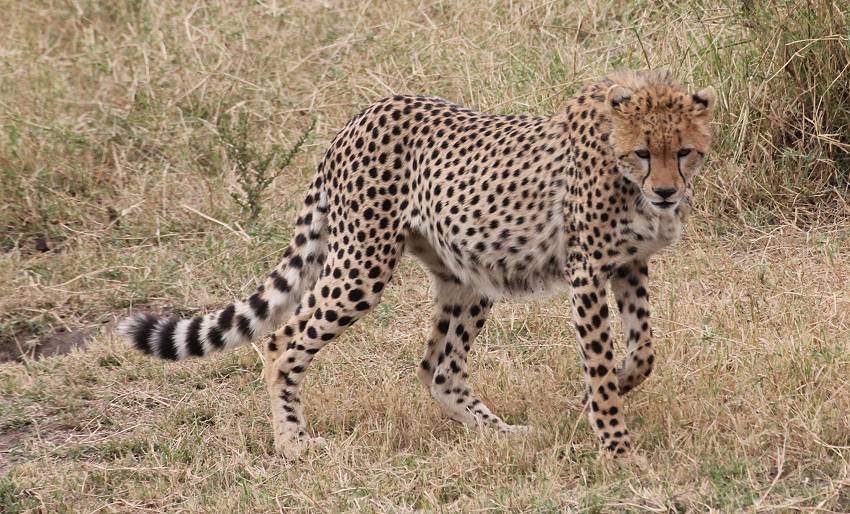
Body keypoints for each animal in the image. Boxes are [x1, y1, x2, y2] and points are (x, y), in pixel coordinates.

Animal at [121, 68, 716, 456]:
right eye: (643, 152)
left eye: (684, 151)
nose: (666, 193)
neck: (626, 178)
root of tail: (361, 115)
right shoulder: (588, 269)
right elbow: (599, 359)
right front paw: (616, 446)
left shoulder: (629, 265)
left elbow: (644, 350)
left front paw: (616, 386)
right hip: (361, 265)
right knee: (282, 339)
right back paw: (292, 442)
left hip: (467, 275)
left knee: (438, 367)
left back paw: (500, 433)